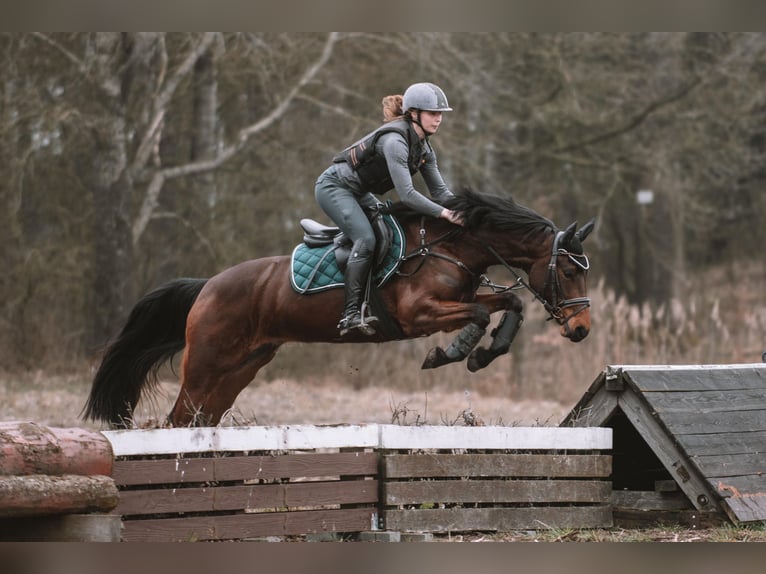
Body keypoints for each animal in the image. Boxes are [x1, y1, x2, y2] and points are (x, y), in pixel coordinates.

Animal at [83, 189, 595, 428]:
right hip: (205, 363)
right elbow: (480, 315)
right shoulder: (419, 315)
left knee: (202, 418)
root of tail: (207, 285)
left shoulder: (461, 298)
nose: (582, 329)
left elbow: (509, 301)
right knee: (178, 418)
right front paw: (452, 352)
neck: (450, 246)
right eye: (571, 270)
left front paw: (485, 354)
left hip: (241, 366)